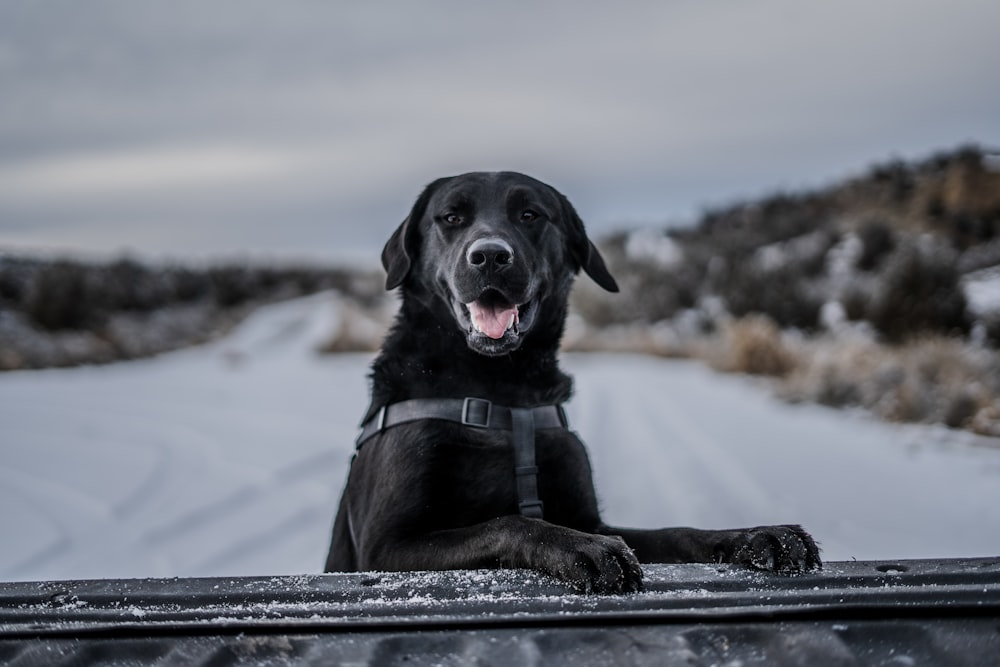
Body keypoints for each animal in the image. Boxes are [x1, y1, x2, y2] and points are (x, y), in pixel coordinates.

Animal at [328, 172, 820, 596]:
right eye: (451, 217)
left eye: (530, 214)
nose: (490, 255)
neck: (499, 387)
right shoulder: (385, 546)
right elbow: (509, 522)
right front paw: (583, 549)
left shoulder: (591, 515)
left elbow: (675, 533)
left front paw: (758, 535)